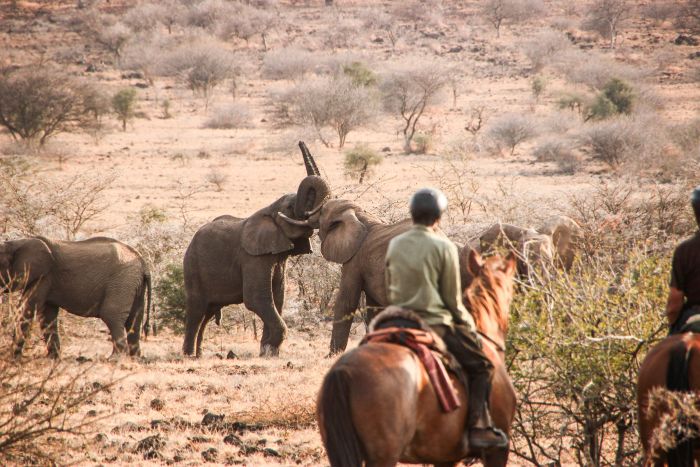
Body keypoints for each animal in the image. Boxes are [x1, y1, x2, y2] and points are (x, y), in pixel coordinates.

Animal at [0, 236, 152, 360]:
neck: (17, 242)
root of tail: (143, 263)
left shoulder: (43, 276)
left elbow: (28, 307)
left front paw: (12, 359)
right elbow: (47, 314)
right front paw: (52, 359)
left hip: (122, 282)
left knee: (111, 315)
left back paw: (114, 360)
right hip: (134, 284)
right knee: (134, 320)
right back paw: (134, 359)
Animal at [183, 150, 330, 358]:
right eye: (290, 207)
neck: (268, 211)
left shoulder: (277, 258)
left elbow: (277, 299)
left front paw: (268, 352)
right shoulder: (253, 258)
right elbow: (257, 299)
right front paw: (268, 351)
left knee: (208, 313)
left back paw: (199, 355)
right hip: (192, 267)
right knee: (196, 310)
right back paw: (188, 356)